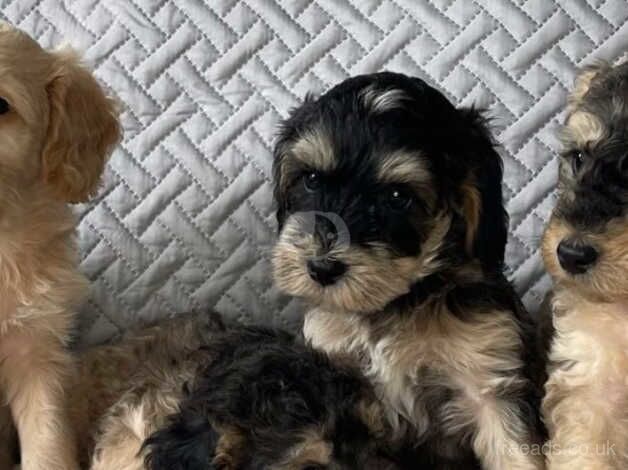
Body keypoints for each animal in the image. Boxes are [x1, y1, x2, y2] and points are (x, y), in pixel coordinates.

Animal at [272, 71, 544, 468]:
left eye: (398, 197)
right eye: (311, 179)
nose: (321, 268)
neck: (397, 301)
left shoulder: (488, 380)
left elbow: (517, 451)